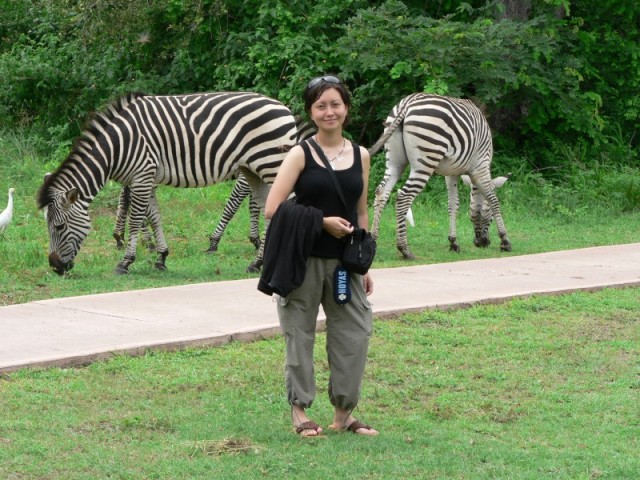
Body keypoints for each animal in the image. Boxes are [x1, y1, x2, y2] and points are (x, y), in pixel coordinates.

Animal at [38, 92, 298, 276]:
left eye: (59, 227)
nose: (54, 267)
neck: (118, 146)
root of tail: (284, 108)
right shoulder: (146, 178)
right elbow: (154, 217)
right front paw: (161, 257)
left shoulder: (142, 175)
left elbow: (136, 220)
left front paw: (125, 262)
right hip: (253, 171)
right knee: (267, 208)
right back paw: (257, 262)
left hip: (273, 165)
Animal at [368, 94, 512, 258]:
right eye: (491, 218)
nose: (481, 243)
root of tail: (407, 103)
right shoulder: (481, 165)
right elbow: (493, 200)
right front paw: (505, 241)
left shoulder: (451, 173)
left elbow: (453, 205)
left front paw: (453, 243)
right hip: (425, 160)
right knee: (403, 197)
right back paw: (405, 249)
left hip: (395, 162)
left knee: (381, 192)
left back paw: (373, 240)